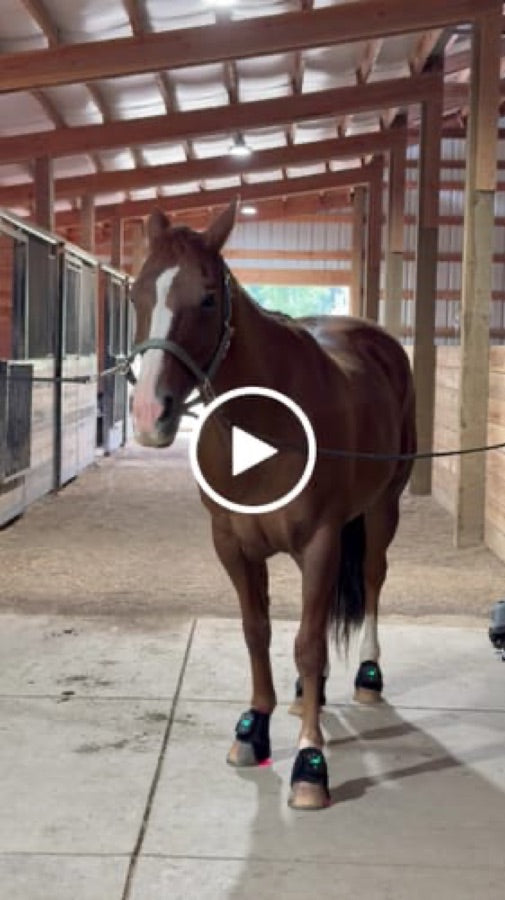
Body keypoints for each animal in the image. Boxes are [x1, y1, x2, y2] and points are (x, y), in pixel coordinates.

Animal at [130, 201, 416, 810]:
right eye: (139, 292)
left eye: (207, 297)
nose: (148, 415)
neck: (267, 423)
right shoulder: (232, 544)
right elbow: (257, 630)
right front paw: (253, 730)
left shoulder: (322, 540)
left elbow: (306, 640)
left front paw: (310, 764)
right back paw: (311, 691)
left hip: (382, 509)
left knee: (373, 578)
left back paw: (367, 675)